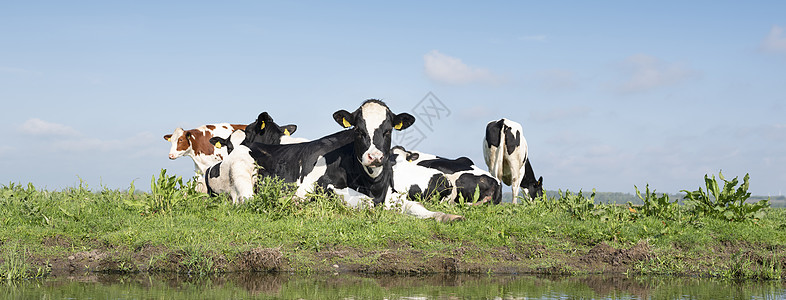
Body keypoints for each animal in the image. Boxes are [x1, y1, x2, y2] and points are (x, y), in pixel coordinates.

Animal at [236, 99, 462, 221]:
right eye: (358, 130)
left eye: (388, 130)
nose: (374, 157)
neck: (372, 185)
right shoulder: (325, 187)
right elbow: (368, 204)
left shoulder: (390, 193)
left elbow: (417, 207)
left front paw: (447, 216)